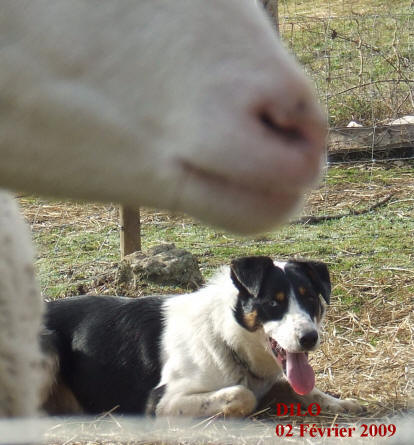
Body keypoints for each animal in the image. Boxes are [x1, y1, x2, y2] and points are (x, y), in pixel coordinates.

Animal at [40, 255, 360, 414]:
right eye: (273, 303)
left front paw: (338, 402)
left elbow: (299, 388)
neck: (225, 337)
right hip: (48, 343)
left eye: (310, 299)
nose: (309, 338)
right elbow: (242, 394)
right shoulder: (161, 401)